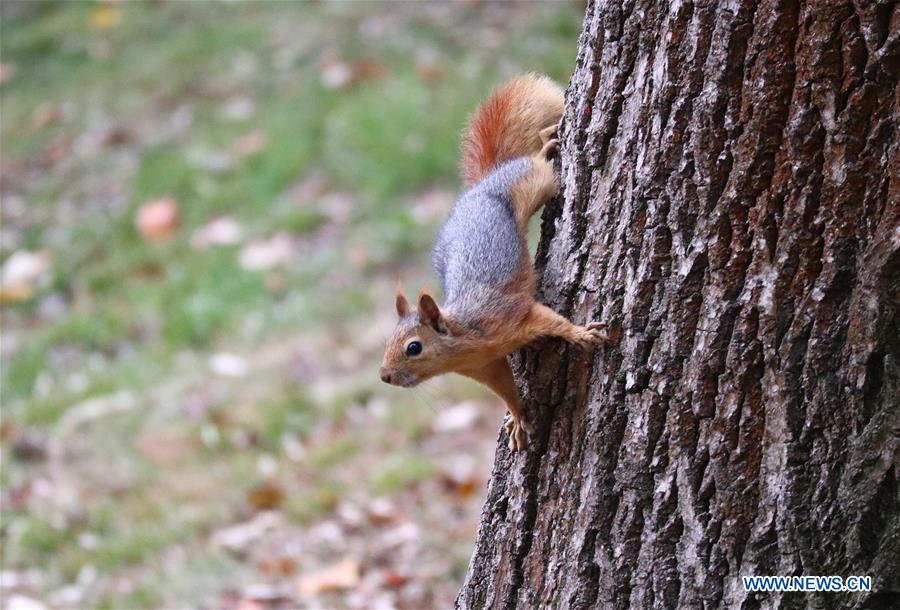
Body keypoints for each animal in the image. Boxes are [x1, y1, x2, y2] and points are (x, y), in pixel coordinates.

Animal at [379, 73, 609, 451]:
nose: (384, 376)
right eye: (388, 342)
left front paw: (579, 333)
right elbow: (505, 388)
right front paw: (517, 417)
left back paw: (544, 146)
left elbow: (551, 320)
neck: (466, 342)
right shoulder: (488, 367)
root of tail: (481, 185)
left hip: (532, 182)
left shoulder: (512, 314)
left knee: (536, 164)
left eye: (414, 347)